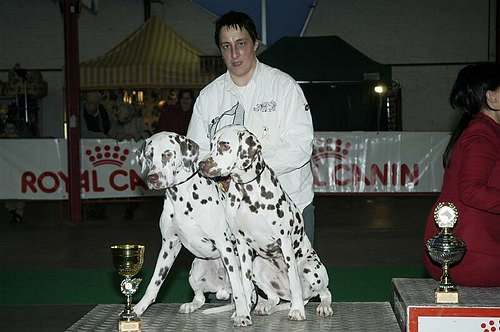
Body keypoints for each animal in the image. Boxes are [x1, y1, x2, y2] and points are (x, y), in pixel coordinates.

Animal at [133, 131, 252, 326]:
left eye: (167, 154)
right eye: (149, 155)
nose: (153, 178)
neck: (181, 198)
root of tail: (222, 290)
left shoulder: (224, 245)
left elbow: (238, 287)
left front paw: (243, 314)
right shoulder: (168, 246)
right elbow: (154, 283)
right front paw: (137, 309)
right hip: (196, 268)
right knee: (200, 297)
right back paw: (191, 305)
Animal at [197, 125, 334, 322]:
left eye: (224, 145)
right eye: (211, 144)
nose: (200, 165)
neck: (247, 192)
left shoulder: (285, 243)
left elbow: (294, 283)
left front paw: (297, 310)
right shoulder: (243, 246)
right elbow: (245, 286)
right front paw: (243, 312)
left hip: (311, 269)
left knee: (324, 293)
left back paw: (321, 306)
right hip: (258, 267)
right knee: (274, 298)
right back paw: (265, 307)